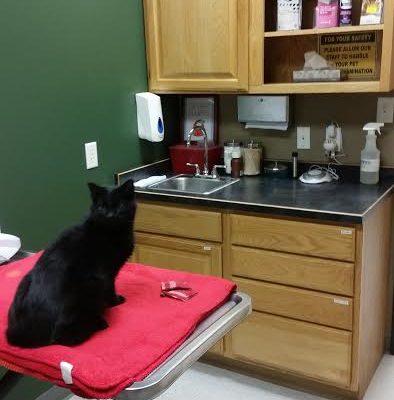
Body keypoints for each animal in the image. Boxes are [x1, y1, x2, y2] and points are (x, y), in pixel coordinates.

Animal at [5, 180, 135, 348]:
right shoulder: (107, 274)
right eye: (102, 207)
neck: (112, 232)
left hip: (25, 280)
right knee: (64, 338)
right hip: (93, 283)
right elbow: (110, 290)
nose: (109, 215)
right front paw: (115, 302)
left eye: (119, 205)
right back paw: (99, 323)